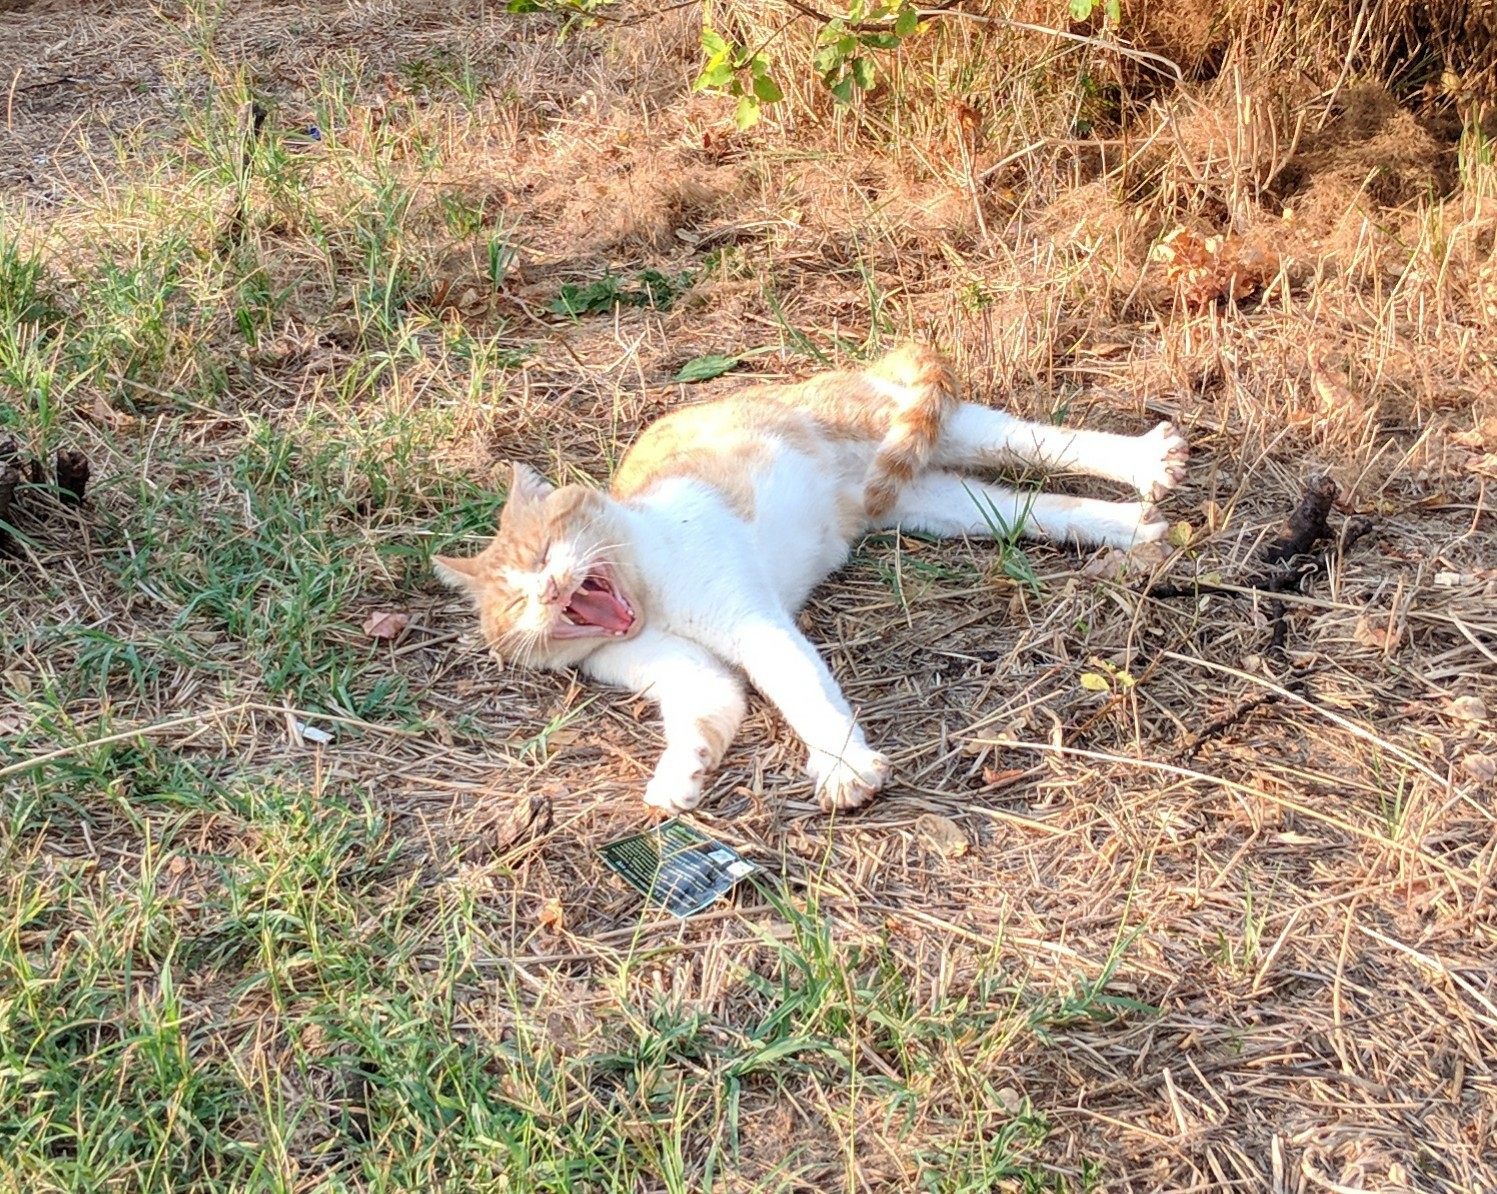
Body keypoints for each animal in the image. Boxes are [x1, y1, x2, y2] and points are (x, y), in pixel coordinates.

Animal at [437, 344, 1185, 813]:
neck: (648, 594)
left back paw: (1149, 460)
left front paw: (845, 767)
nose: (547, 591)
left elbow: (801, 691)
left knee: (1030, 438)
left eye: (543, 551)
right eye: (513, 602)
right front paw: (681, 778)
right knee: (1042, 506)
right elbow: (707, 709)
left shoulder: (752, 625)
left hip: (919, 425)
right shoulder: (678, 671)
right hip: (936, 504)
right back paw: (1137, 529)